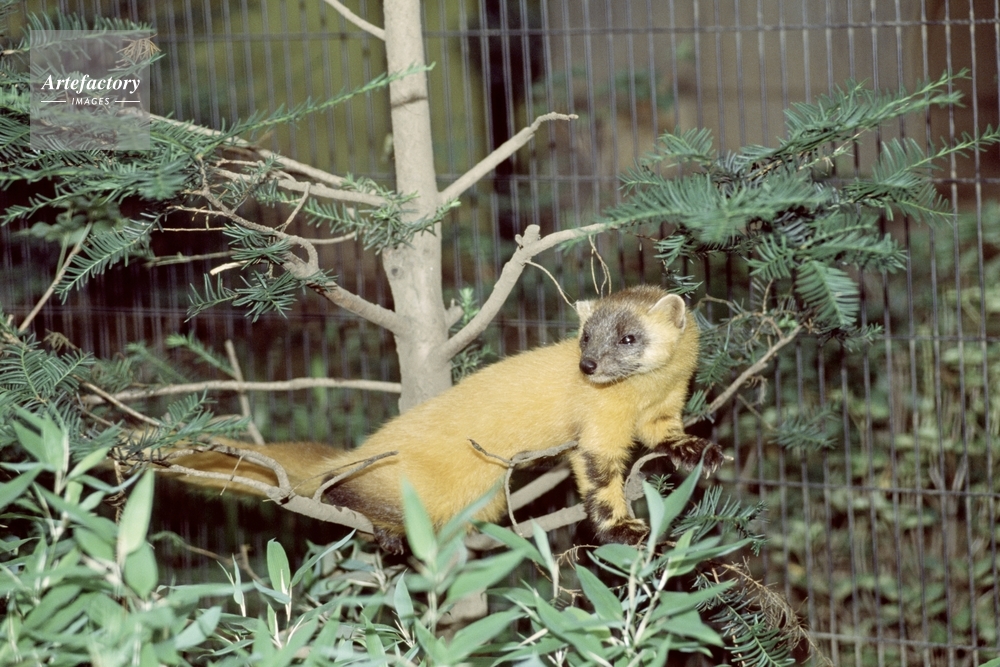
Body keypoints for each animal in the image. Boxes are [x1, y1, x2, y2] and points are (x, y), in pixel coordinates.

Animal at [163, 285, 724, 554]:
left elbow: (666, 434)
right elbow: (601, 481)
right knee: (345, 492)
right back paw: (389, 530)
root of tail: (352, 454)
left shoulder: (665, 408)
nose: (588, 365)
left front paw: (699, 450)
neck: (643, 399)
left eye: (628, 337)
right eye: (585, 336)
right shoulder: (597, 431)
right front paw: (626, 528)